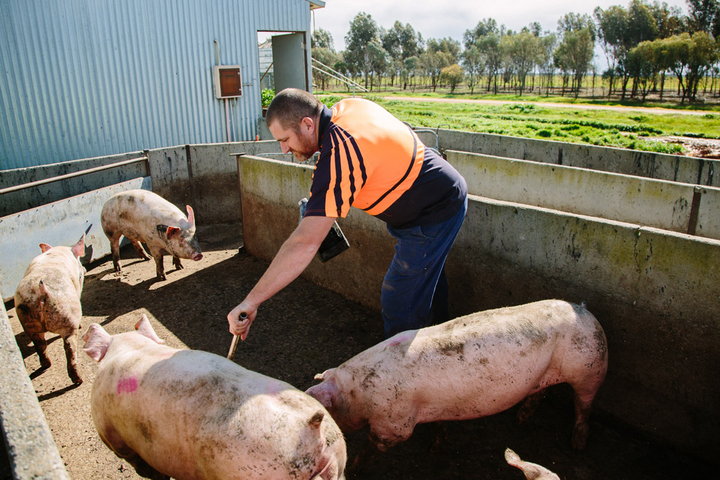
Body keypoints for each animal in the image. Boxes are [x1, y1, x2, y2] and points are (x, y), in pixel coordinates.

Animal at [13, 234, 87, 384]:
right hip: (67, 314)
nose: (85, 269)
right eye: (81, 270)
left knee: (40, 344)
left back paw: (46, 365)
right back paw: (78, 380)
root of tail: (41, 291)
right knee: (69, 346)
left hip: (27, 317)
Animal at [306, 298, 612, 452]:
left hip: (592, 366)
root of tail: (585, 311)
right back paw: (521, 420)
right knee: (540, 391)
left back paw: (577, 444)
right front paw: (438, 443)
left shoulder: (394, 423)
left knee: (584, 404)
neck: (355, 395)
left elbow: (379, 443)